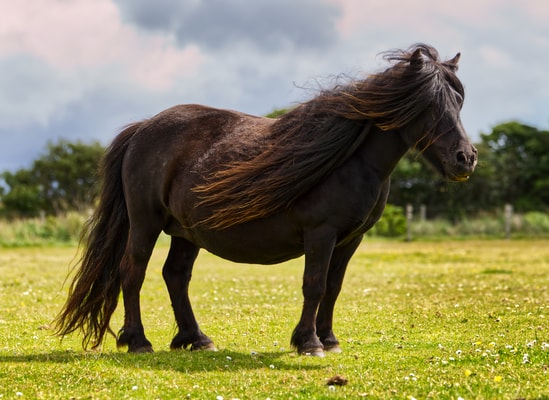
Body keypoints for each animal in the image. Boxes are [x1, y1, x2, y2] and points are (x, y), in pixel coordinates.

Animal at [55, 43, 476, 356]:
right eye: (429, 106)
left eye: (459, 102)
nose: (465, 158)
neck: (354, 162)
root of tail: (143, 128)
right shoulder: (321, 234)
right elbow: (314, 284)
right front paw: (309, 343)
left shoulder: (350, 240)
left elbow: (334, 287)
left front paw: (329, 339)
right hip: (146, 223)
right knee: (133, 272)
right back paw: (138, 341)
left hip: (186, 233)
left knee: (175, 276)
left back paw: (196, 339)